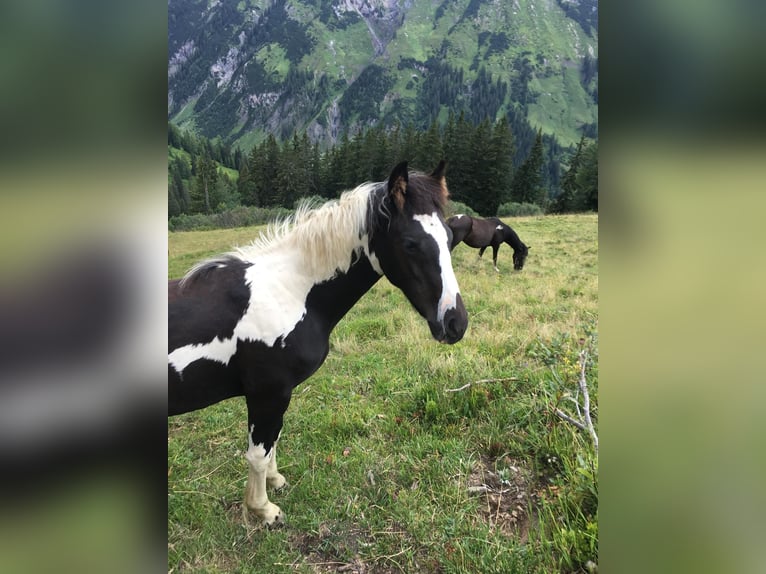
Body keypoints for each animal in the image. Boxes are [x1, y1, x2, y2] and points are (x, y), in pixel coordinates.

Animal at [168, 161, 468, 528]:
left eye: (450, 238)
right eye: (411, 243)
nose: (456, 323)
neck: (290, 291)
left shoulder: (277, 395)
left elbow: (274, 440)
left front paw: (275, 481)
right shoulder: (268, 393)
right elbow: (258, 453)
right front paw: (263, 510)